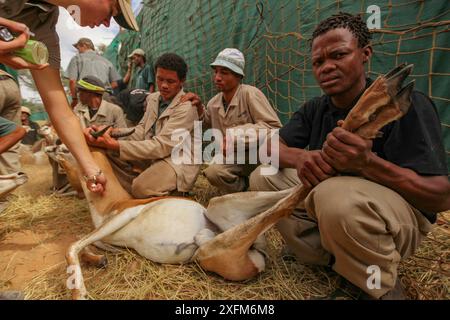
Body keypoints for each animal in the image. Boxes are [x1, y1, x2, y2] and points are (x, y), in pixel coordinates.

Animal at [64, 64, 414, 300]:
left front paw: (79, 289)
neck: (110, 201)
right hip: (221, 223)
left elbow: (73, 244)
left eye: (76, 144)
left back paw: (388, 91)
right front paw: (98, 261)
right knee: (299, 188)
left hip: (215, 240)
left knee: (297, 193)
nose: (55, 144)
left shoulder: (123, 214)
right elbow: (89, 246)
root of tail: (260, 258)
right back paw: (387, 100)